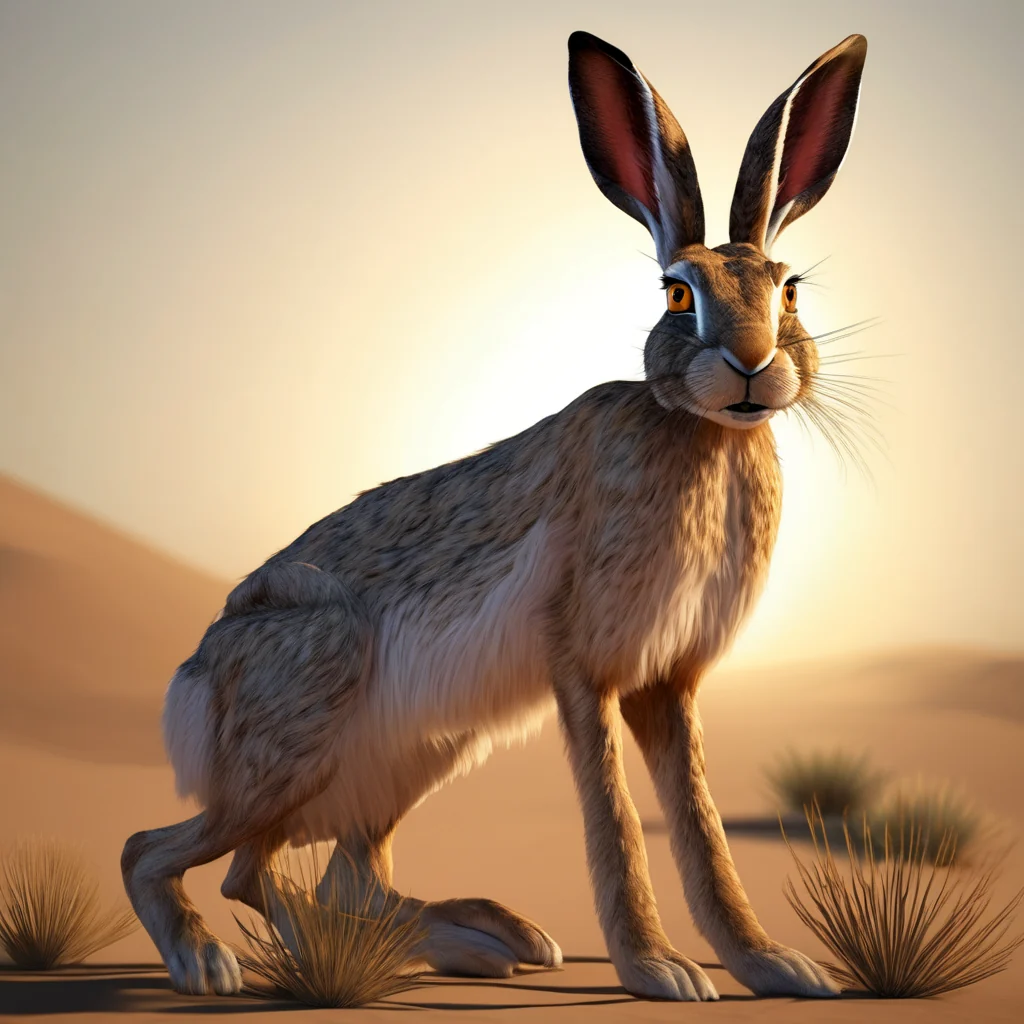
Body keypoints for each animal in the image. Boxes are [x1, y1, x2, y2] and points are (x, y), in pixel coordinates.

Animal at [122, 29, 867, 1001]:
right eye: (676, 294)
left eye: (790, 290)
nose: (750, 363)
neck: (700, 434)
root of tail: (194, 683)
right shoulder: (585, 667)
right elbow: (614, 820)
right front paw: (659, 970)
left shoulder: (671, 683)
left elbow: (703, 829)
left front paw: (774, 965)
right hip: (297, 732)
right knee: (172, 854)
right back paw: (209, 964)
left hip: (418, 750)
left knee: (316, 875)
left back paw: (485, 940)